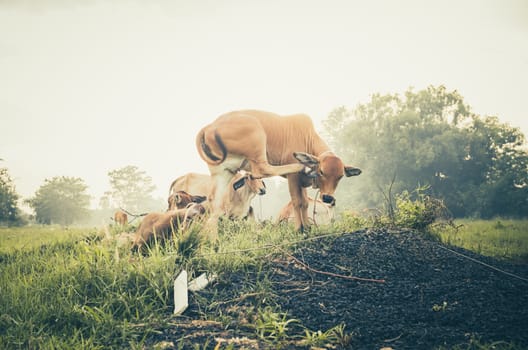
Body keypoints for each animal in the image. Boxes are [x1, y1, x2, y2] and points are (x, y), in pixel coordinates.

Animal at [196, 110, 360, 234]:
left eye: (340, 176)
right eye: (321, 171)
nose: (327, 198)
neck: (308, 139)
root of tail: (210, 126)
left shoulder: (301, 184)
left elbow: (305, 203)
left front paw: (307, 227)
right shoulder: (293, 179)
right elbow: (297, 202)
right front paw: (299, 229)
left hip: (224, 171)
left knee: (214, 202)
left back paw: (212, 241)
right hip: (257, 136)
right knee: (262, 169)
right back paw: (300, 166)